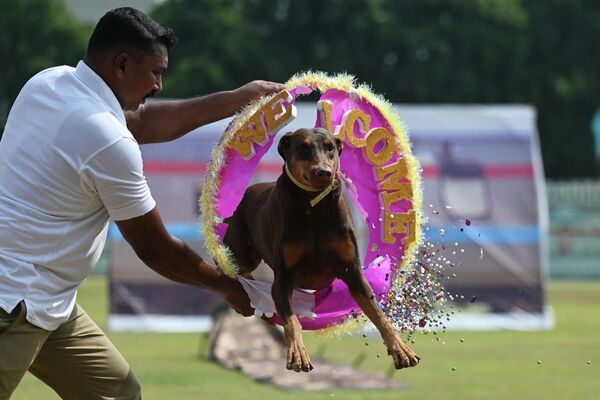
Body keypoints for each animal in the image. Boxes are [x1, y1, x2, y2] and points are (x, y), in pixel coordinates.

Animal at [223, 127, 420, 372]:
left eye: (330, 147)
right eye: (303, 147)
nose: (323, 172)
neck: (314, 206)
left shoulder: (352, 271)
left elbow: (377, 312)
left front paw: (400, 349)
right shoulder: (283, 279)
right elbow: (292, 320)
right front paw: (298, 353)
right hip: (242, 250)